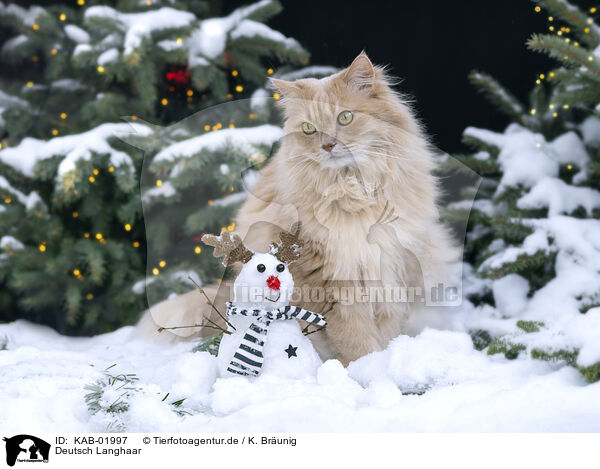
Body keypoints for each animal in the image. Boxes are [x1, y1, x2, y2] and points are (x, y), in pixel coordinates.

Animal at [138, 52, 460, 366]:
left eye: (345, 117)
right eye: (309, 129)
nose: (328, 145)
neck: (352, 190)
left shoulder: (392, 267)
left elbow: (386, 328)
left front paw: (382, 360)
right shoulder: (333, 277)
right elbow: (355, 337)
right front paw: (366, 367)